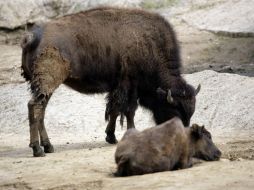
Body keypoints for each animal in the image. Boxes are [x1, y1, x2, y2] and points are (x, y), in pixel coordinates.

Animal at [21, 6, 200, 157]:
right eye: (175, 111)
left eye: (191, 113)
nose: (182, 135)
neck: (149, 43)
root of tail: (33, 37)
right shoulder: (129, 85)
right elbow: (128, 110)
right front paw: (129, 133)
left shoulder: (118, 87)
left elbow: (114, 110)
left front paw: (111, 136)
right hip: (48, 83)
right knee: (35, 107)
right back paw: (38, 149)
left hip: (43, 87)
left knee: (40, 110)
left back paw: (47, 146)